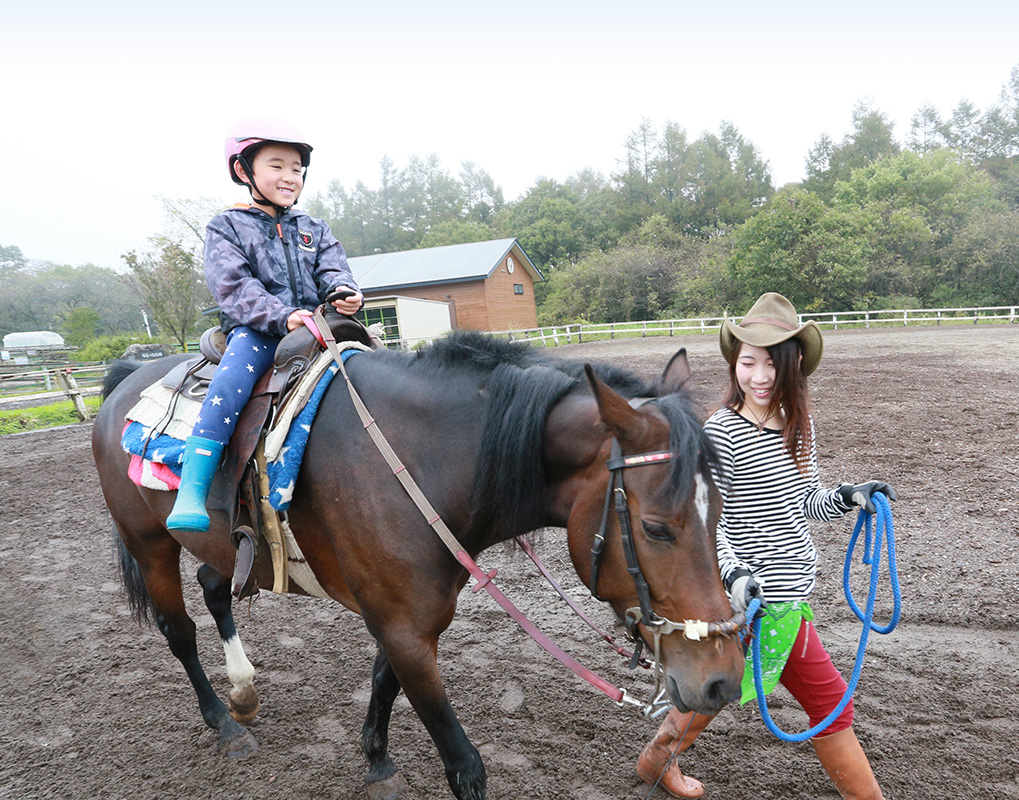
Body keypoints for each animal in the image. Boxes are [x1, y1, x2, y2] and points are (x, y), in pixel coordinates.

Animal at [91, 330, 745, 798]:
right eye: (656, 528)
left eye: (720, 511)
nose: (722, 680)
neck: (421, 464)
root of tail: (126, 379)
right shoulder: (404, 626)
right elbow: (465, 766)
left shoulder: (405, 617)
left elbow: (384, 680)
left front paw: (377, 761)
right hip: (149, 542)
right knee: (178, 630)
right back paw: (223, 724)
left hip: (224, 548)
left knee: (214, 587)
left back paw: (244, 692)